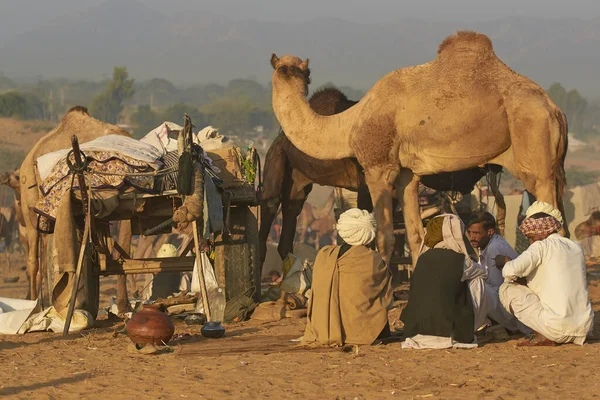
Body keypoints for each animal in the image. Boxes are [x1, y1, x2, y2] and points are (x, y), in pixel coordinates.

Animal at [270, 29, 568, 264]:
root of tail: (554, 109)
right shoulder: (407, 175)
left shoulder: (378, 168)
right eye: (283, 69)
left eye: (302, 70)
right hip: (552, 166)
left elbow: (385, 237)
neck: (349, 124)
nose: (294, 75)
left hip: (535, 147)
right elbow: (415, 236)